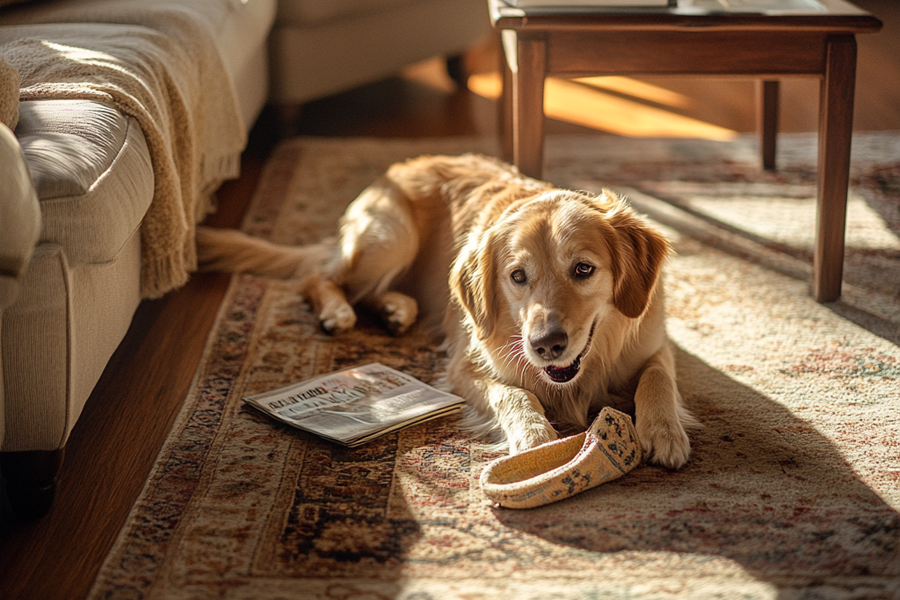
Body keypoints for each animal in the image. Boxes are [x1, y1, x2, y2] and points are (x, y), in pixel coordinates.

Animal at [199, 155, 696, 468]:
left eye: (584, 269)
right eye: (518, 276)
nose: (545, 346)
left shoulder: (654, 344)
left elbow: (657, 379)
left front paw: (664, 432)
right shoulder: (465, 367)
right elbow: (516, 395)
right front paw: (535, 438)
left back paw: (397, 309)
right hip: (389, 237)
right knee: (319, 277)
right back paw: (339, 311)